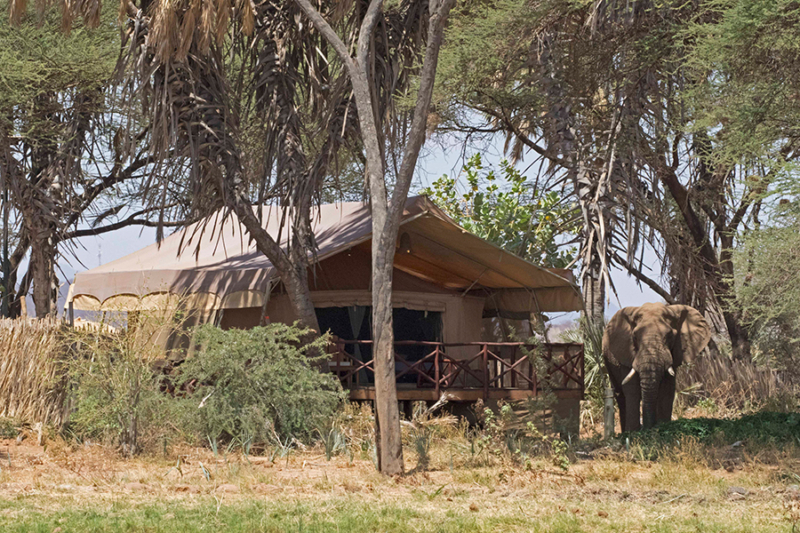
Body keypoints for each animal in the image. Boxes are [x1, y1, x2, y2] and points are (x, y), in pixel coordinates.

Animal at [604, 302, 708, 430]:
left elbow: (667, 389)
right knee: (621, 396)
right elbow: (632, 390)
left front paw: (663, 427)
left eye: (669, 336)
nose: (648, 427)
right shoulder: (626, 352)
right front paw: (634, 432)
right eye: (635, 337)